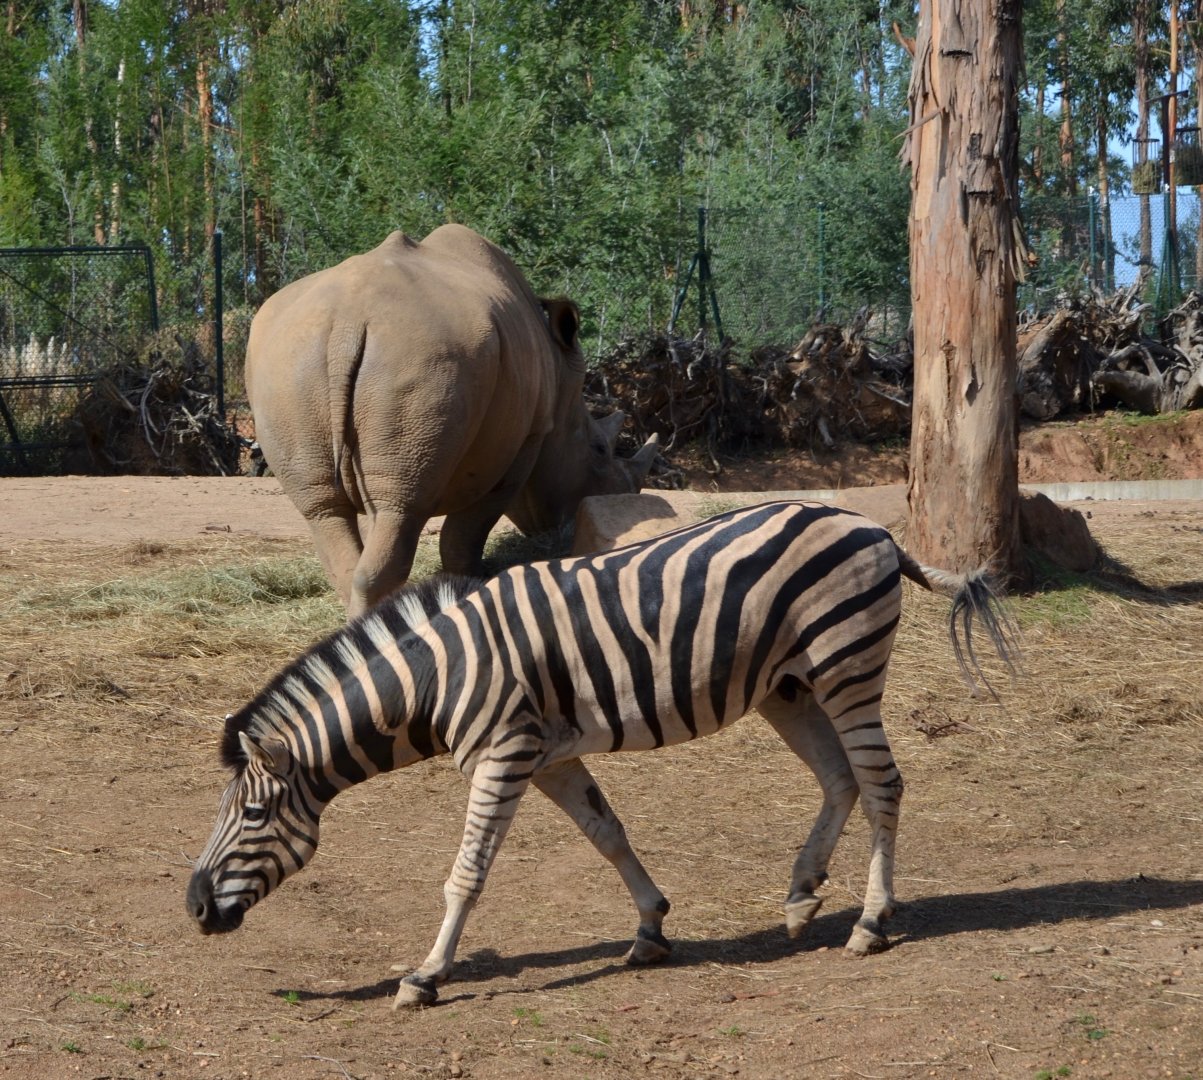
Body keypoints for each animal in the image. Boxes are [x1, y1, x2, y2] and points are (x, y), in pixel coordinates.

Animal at [186, 500, 1019, 1008]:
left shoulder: (504, 752)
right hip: (786, 686)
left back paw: (871, 924)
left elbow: (466, 872)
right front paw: (650, 927)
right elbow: (606, 832)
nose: (193, 908)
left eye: (253, 817)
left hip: (846, 667)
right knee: (840, 779)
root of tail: (871, 526)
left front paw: (425, 975)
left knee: (881, 783)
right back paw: (799, 895)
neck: (433, 676)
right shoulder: (548, 755)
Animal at [245, 224, 658, 617]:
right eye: (599, 449)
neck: (560, 385)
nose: (625, 495)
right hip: (419, 355)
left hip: (290, 365)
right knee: (399, 509)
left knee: (328, 509)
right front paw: (473, 585)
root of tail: (348, 320)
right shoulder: (526, 439)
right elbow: (467, 532)